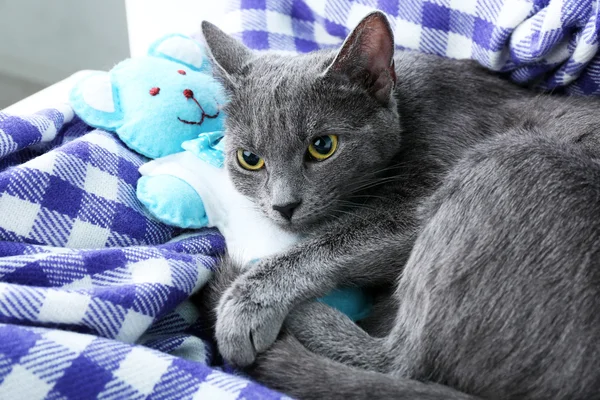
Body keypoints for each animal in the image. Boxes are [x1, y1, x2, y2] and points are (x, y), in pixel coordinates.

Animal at [199, 10, 600, 398]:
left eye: (323, 146)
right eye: (250, 159)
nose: (283, 206)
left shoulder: (419, 201)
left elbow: (325, 244)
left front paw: (245, 303)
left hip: (512, 159)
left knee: (396, 362)